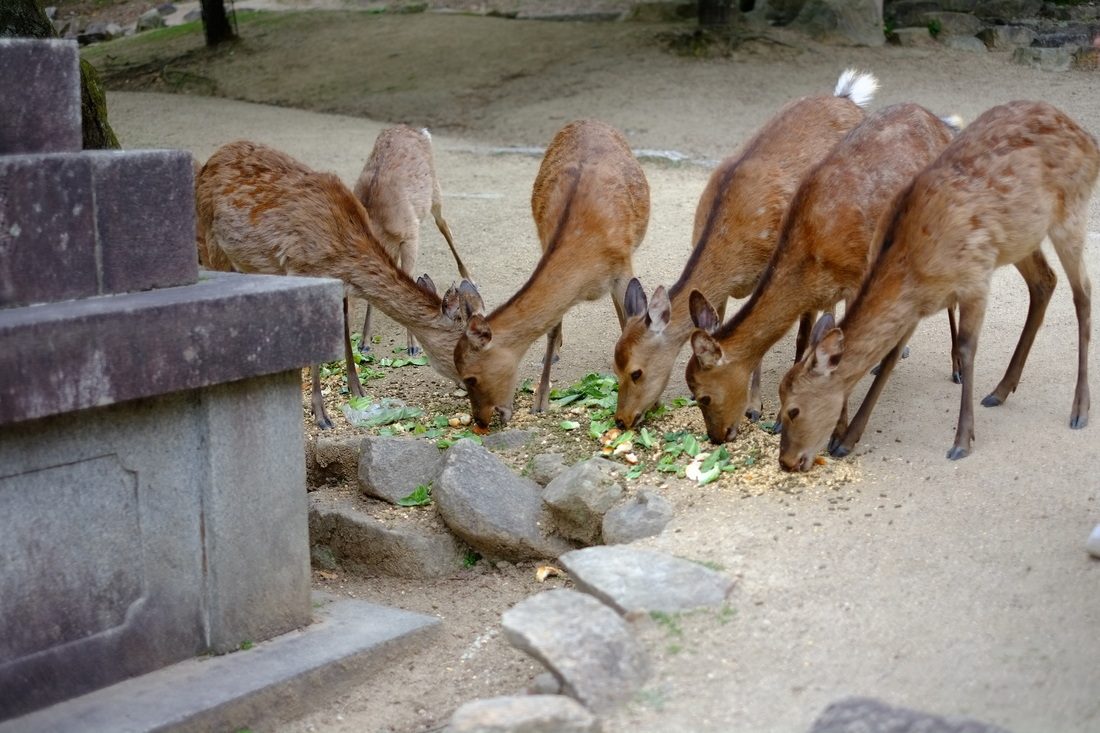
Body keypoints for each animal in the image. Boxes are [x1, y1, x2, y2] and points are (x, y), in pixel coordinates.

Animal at [353, 125, 473, 356]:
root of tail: (419, 130)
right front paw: (364, 343)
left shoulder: (410, 236)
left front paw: (413, 346)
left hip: (435, 192)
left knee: (445, 226)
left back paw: (468, 276)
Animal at [454, 119, 650, 430]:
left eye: (470, 377)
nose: (480, 419)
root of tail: (589, 120)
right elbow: (552, 327)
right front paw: (540, 400)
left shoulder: (623, 268)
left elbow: (628, 318)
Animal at [685, 103, 959, 445]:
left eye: (704, 396)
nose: (718, 437)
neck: (811, 250)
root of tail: (941, 124)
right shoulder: (818, 293)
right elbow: (806, 342)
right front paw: (779, 421)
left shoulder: (857, 277)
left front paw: (835, 434)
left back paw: (956, 368)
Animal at [777, 100, 1098, 471]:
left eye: (793, 410)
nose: (786, 461)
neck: (912, 265)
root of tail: (1088, 139)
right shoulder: (917, 305)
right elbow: (890, 357)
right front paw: (847, 439)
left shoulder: (975, 277)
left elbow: (967, 350)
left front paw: (961, 441)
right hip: (1021, 239)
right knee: (1046, 281)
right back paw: (1000, 390)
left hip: (1071, 214)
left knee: (1083, 293)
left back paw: (1079, 409)